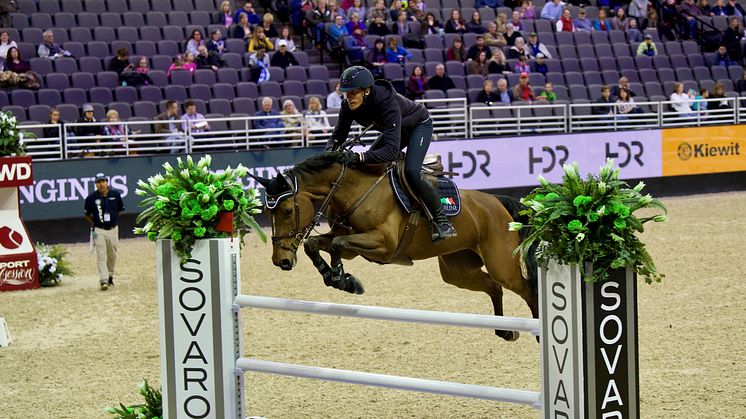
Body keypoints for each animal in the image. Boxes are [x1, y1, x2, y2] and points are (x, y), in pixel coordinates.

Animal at [253, 152, 536, 342]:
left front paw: (342, 279)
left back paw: (537, 331)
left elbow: (335, 244)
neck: (355, 190)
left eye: (288, 211)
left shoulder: (383, 245)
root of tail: (496, 202)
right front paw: (338, 279)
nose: (281, 260)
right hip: (458, 270)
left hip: (501, 263)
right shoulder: (353, 247)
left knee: (526, 289)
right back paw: (505, 332)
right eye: (268, 214)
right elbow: (316, 244)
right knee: (494, 287)